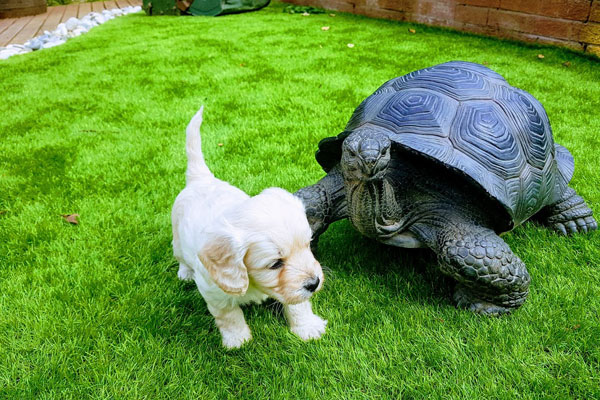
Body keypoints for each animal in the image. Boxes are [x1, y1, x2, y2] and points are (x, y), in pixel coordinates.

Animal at [171, 108, 326, 348]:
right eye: (275, 264)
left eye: (308, 245)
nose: (314, 283)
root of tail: (200, 179)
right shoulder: (213, 292)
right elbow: (229, 316)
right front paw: (238, 340)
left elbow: (298, 304)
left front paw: (307, 327)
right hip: (177, 238)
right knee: (180, 256)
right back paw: (185, 273)